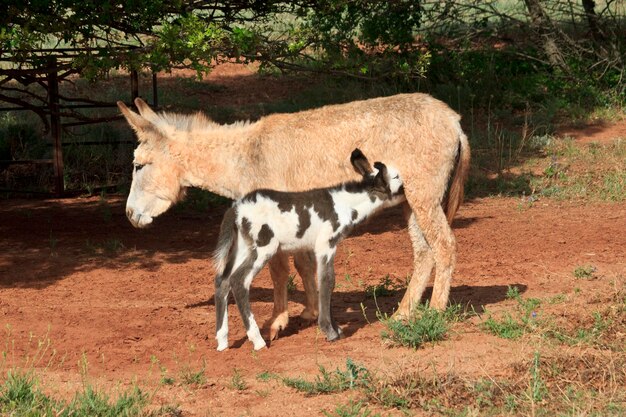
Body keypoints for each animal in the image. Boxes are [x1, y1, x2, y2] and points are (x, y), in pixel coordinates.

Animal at [212, 148, 402, 350]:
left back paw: (222, 342)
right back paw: (258, 341)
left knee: (222, 280)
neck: (344, 205)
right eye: (397, 177)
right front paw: (331, 332)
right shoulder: (326, 244)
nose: (407, 188)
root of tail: (235, 210)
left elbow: (325, 281)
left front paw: (336, 329)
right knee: (239, 280)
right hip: (264, 247)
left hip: (243, 247)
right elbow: (327, 281)